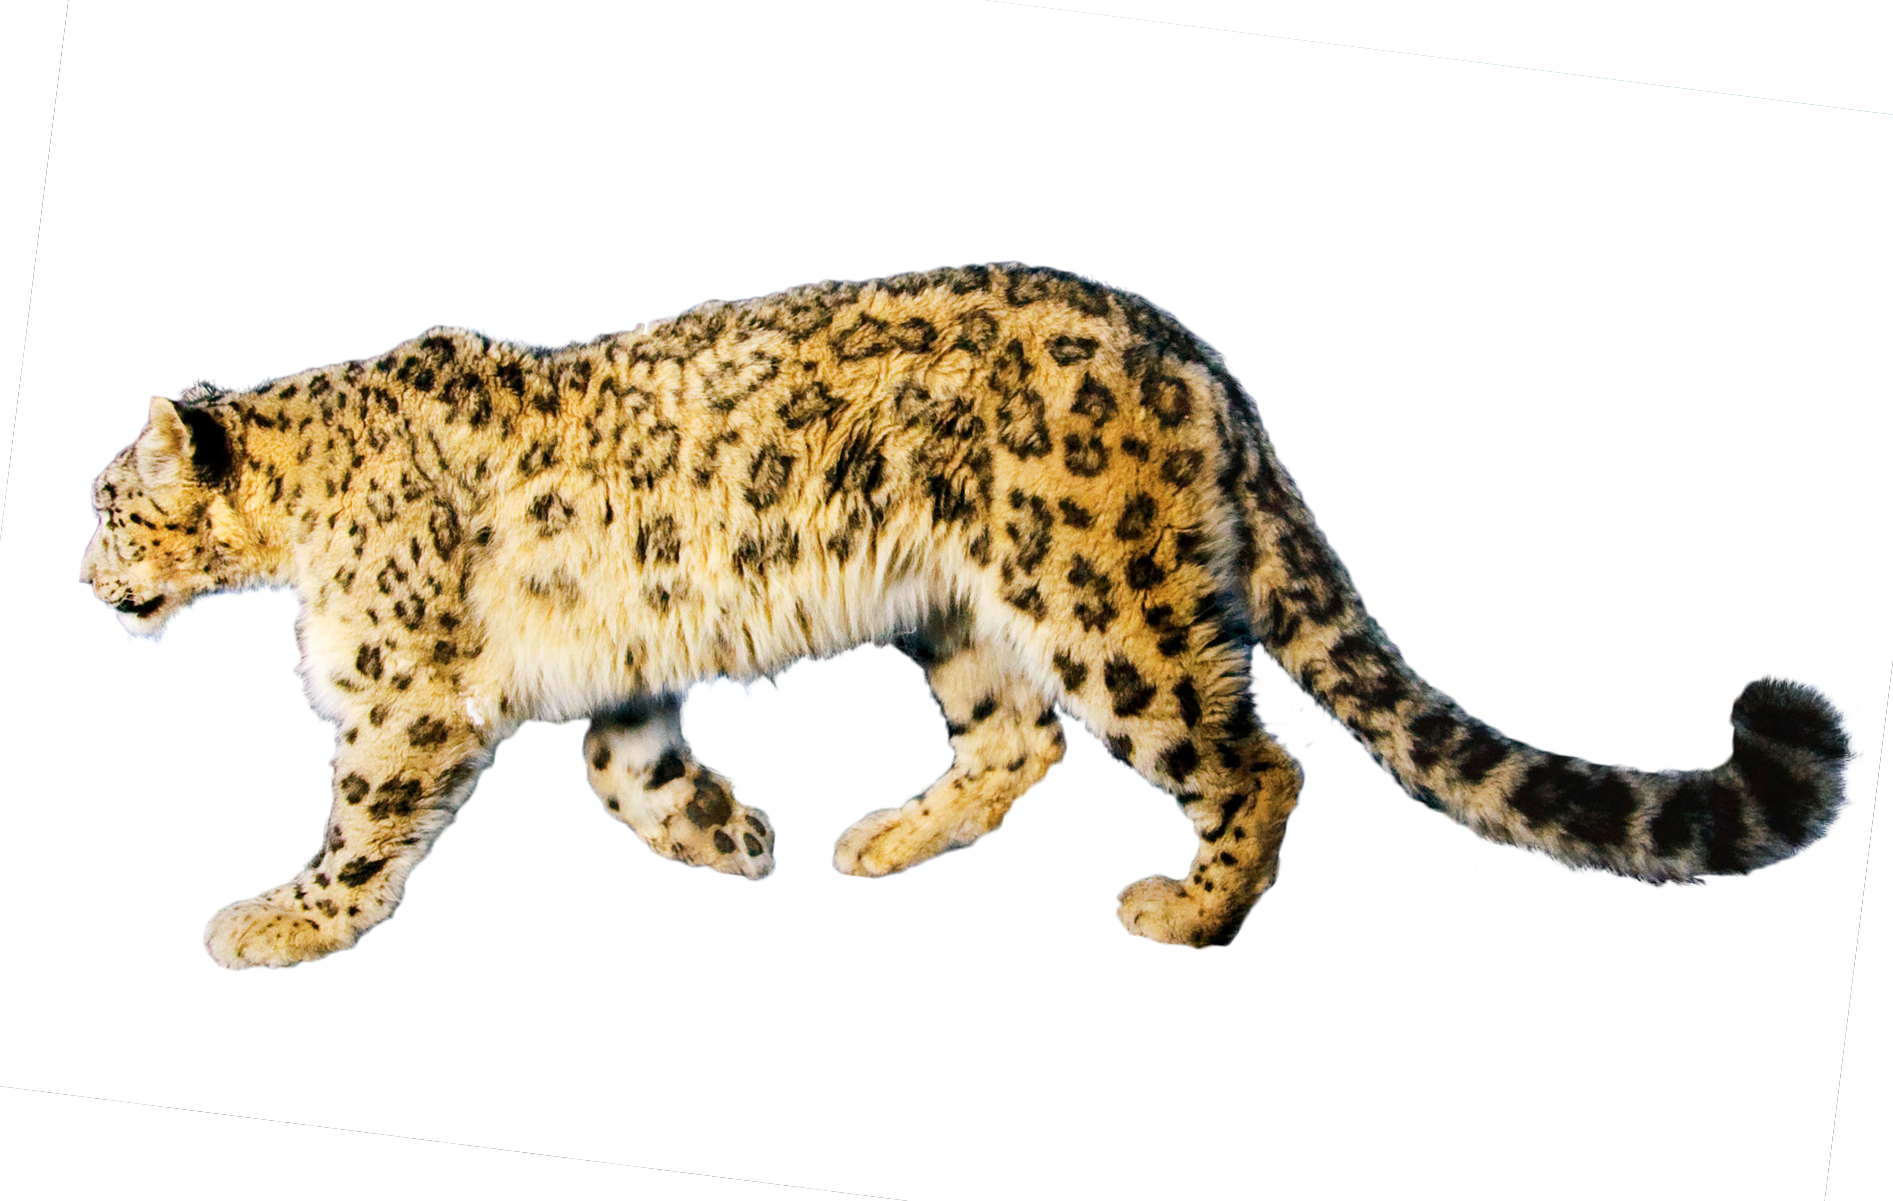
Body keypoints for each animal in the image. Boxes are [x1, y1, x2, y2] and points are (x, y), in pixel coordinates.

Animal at [77, 264, 1867, 970]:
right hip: (967, 609)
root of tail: (1195, 351)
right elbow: (619, 766)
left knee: (1245, 755)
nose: (91, 583)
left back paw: (1181, 912)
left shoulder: (407, 689)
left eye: (104, 501)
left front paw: (278, 921)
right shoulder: (612, 668)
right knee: (1022, 749)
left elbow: (368, 816)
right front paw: (732, 835)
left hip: (1100, 593)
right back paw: (881, 842)